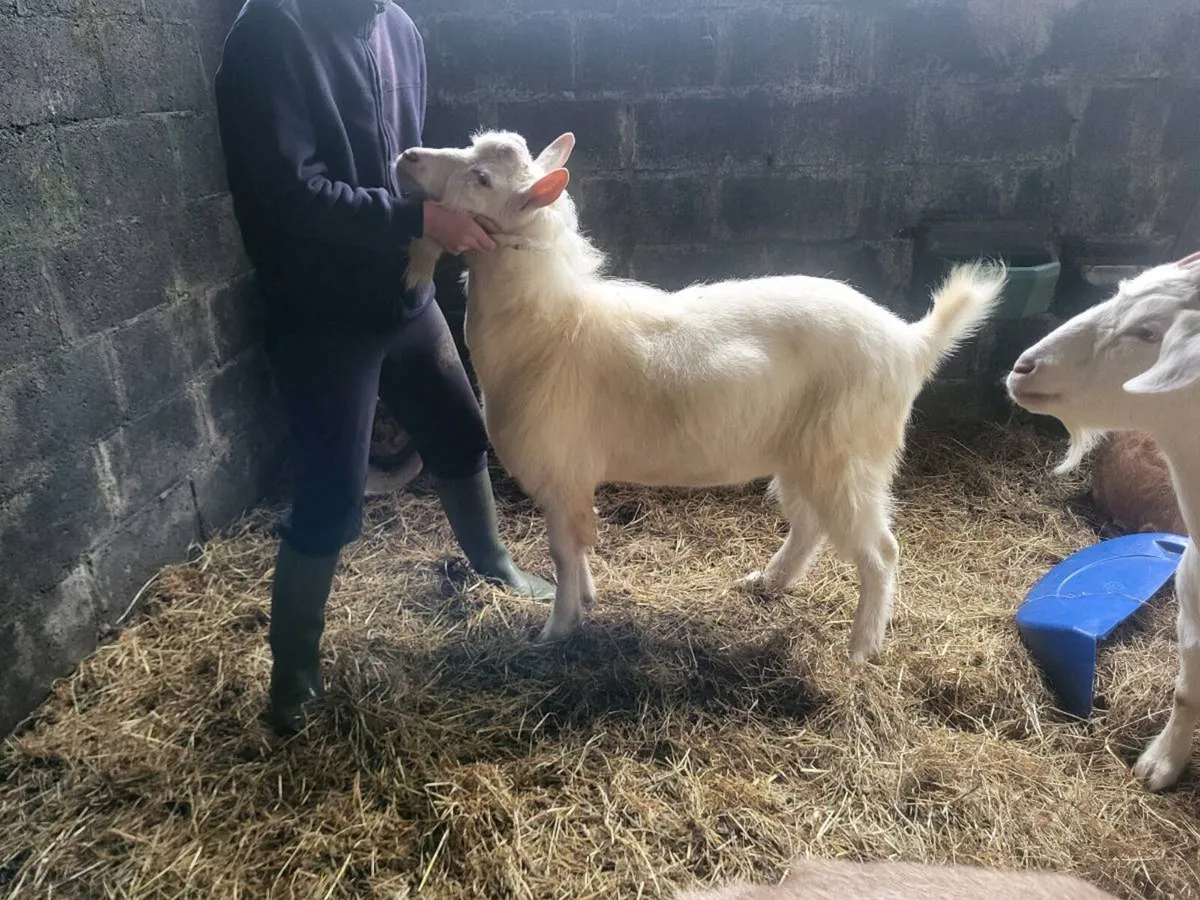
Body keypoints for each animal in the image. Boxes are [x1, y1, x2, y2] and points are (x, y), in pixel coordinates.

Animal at [397, 130, 1006, 662]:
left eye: (480, 178)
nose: (406, 157)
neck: (547, 325)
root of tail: (909, 342)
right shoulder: (571, 480)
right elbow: (579, 545)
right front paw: (585, 603)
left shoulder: (561, 470)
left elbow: (564, 551)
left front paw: (557, 629)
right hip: (806, 451)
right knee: (810, 525)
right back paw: (769, 582)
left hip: (847, 451)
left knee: (879, 550)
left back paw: (861, 648)